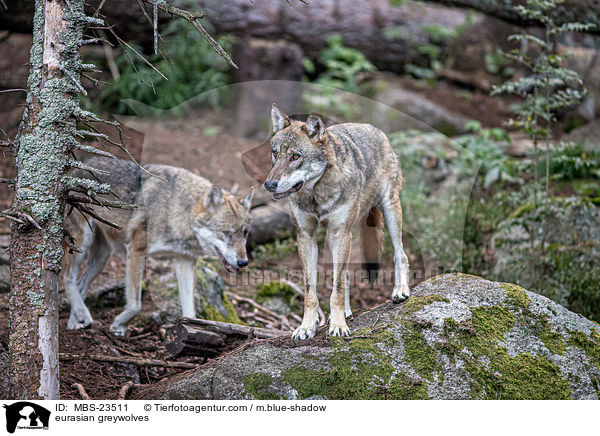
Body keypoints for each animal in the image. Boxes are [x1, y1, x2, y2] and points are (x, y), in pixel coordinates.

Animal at [64, 158, 252, 338]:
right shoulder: (136, 250)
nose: (243, 262)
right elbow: (136, 305)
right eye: (225, 233)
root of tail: (78, 166)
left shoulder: (185, 261)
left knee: (80, 285)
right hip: (81, 244)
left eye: (245, 232)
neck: (175, 208)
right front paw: (119, 325)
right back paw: (82, 314)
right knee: (68, 278)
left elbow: (190, 311)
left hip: (101, 258)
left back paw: (75, 320)